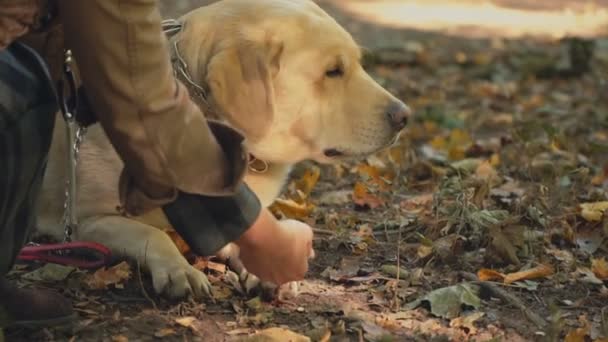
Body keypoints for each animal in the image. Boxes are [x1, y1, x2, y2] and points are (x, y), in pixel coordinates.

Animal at [35, 0, 410, 300]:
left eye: (358, 64)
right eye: (333, 71)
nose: (404, 116)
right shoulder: (86, 223)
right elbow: (151, 233)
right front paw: (180, 270)